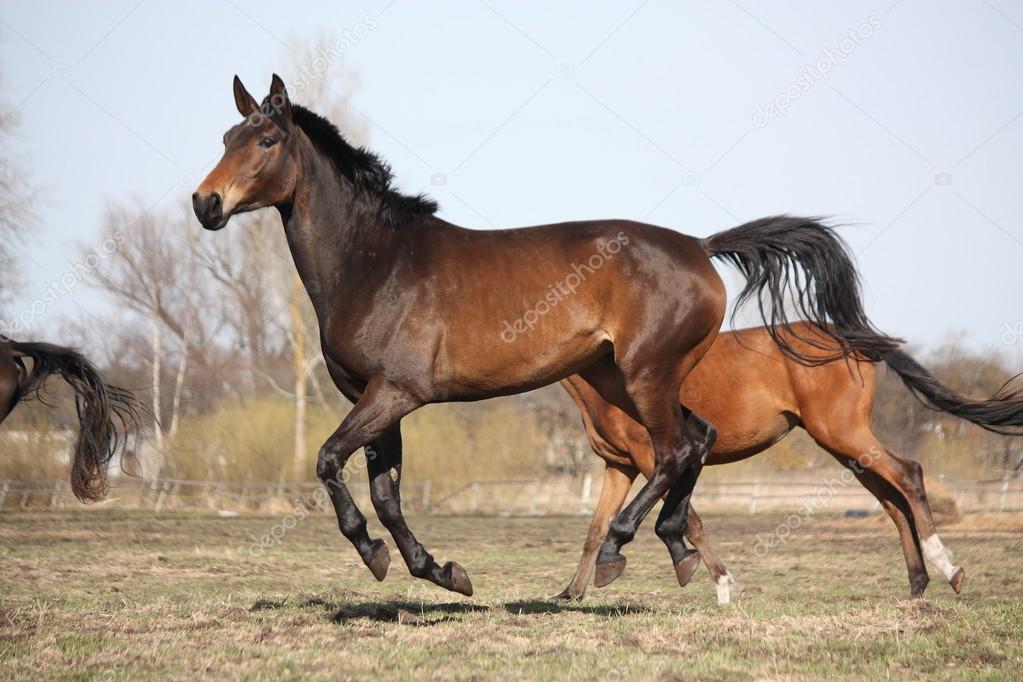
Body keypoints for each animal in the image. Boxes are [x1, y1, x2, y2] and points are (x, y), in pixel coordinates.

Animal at [195, 76, 900, 597]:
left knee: (676, 449)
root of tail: (698, 247)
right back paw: (675, 548)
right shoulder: (374, 399)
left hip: (646, 376)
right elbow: (385, 493)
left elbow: (328, 461)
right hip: (623, 378)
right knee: (698, 439)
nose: (206, 204)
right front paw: (440, 571)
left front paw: (376, 554)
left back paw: (621, 549)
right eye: (226, 135)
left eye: (264, 140)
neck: (376, 261)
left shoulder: (395, 393)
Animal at [560, 325, 1023, 601]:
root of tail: (852, 337)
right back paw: (917, 585)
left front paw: (719, 583)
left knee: (909, 476)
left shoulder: (652, 458)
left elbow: (688, 521)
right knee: (892, 502)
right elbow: (594, 530)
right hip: (845, 447)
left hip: (843, 434)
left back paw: (949, 569)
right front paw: (572, 593)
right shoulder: (619, 467)